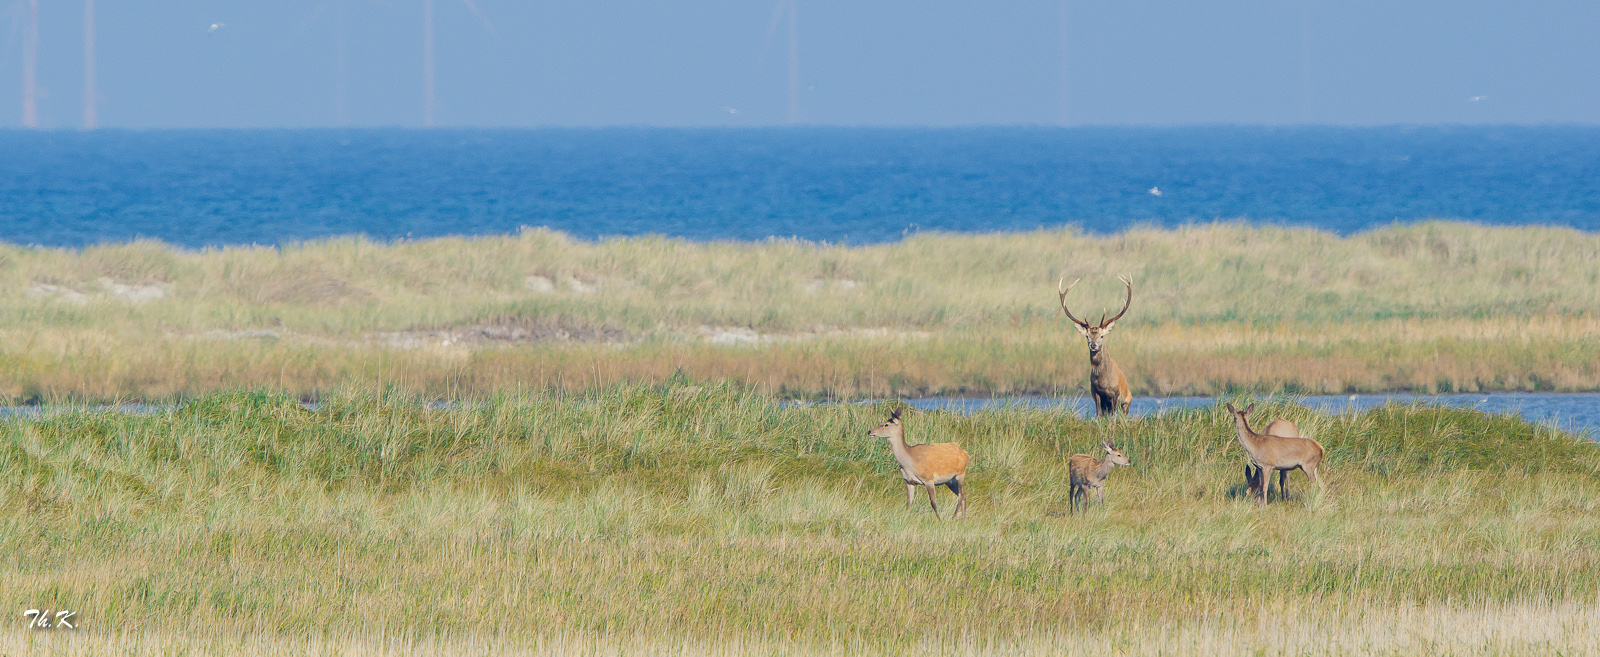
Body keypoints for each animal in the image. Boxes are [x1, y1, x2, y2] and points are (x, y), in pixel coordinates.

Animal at [1056, 276, 1132, 415]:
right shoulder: (1096, 392)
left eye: (1102, 336)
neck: (1103, 381)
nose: (1093, 345)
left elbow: (1114, 414)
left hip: (1127, 401)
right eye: (1087, 336)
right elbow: (1098, 414)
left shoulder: (1115, 393)